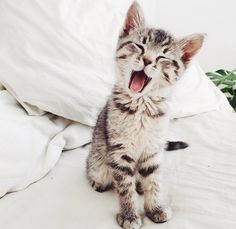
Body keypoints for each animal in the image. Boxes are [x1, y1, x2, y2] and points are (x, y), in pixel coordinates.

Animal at [85, 2, 204, 229]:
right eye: (140, 46)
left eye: (163, 57)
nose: (147, 60)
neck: (141, 107)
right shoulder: (119, 150)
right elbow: (125, 187)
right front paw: (130, 215)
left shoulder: (153, 150)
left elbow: (153, 182)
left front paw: (154, 208)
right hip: (97, 160)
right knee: (94, 171)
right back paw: (99, 181)